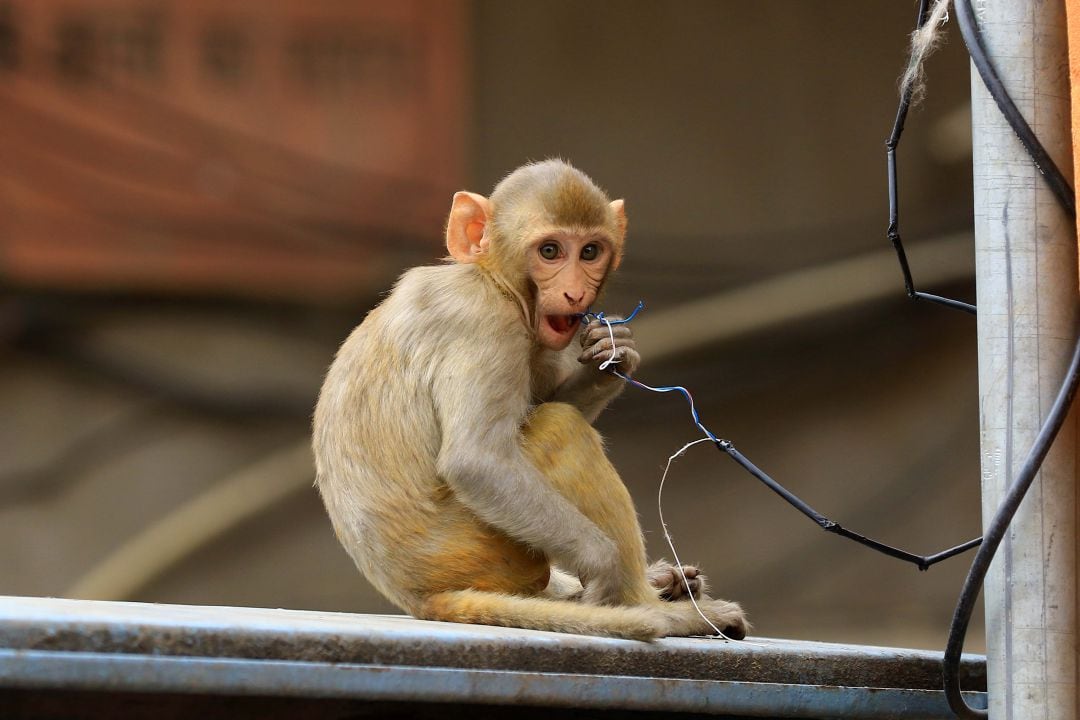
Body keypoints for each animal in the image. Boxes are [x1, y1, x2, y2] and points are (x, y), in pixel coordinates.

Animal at [315, 158, 751, 643]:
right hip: (476, 551)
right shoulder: (485, 324)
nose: (576, 292)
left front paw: (612, 354)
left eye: (590, 252)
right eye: (550, 251)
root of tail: (417, 598)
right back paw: (651, 603)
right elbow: (477, 460)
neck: (492, 279)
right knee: (558, 429)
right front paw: (607, 571)